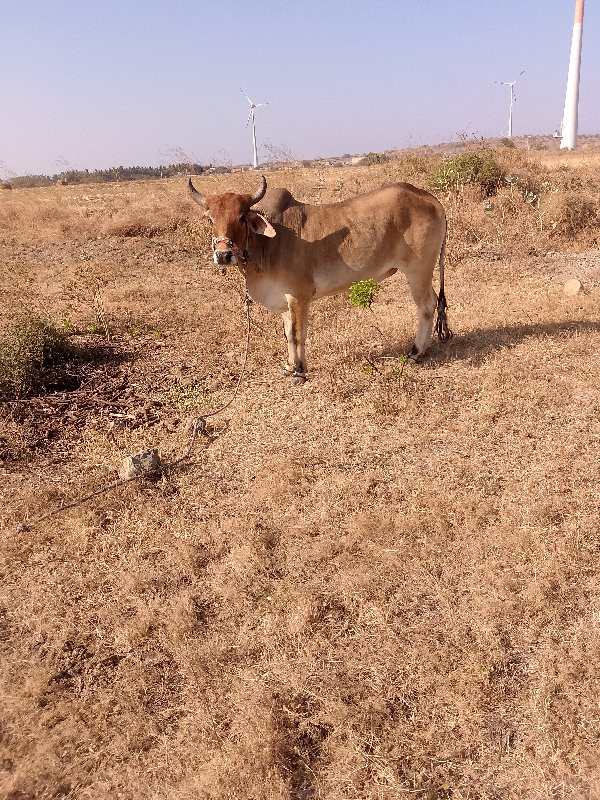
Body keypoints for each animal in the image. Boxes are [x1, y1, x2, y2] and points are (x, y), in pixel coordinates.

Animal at [189, 176, 450, 388]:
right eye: (210, 219)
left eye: (242, 217)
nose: (223, 255)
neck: (268, 244)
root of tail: (431, 199)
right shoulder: (284, 300)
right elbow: (288, 334)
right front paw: (289, 366)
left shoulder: (299, 296)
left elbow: (298, 334)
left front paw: (299, 372)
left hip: (417, 271)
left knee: (426, 306)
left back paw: (416, 352)